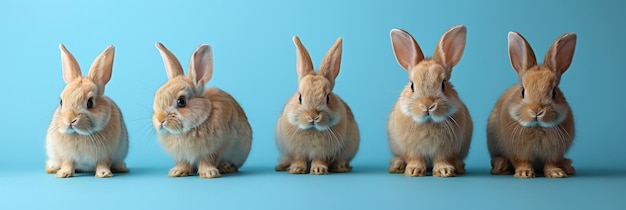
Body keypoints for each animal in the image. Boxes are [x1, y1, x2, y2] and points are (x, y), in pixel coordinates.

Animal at [45, 44, 129, 177]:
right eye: (61, 102)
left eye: (90, 103)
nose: (70, 120)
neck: (80, 134)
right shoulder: (66, 156)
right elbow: (67, 163)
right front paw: (63, 174)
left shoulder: (105, 155)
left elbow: (102, 163)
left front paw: (104, 174)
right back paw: (52, 168)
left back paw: (121, 168)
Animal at [153, 42, 251, 179]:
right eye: (157, 95)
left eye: (181, 101)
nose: (160, 120)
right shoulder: (182, 155)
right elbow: (184, 163)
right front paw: (177, 172)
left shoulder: (214, 148)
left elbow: (208, 160)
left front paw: (209, 173)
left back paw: (226, 167)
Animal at [274, 36, 358, 176]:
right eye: (300, 97)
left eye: (328, 98)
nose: (313, 117)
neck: (312, 130)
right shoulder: (296, 151)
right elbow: (298, 159)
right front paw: (296, 169)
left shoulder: (324, 152)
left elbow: (320, 160)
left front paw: (319, 170)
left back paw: (340, 168)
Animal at [386, 25, 472, 178]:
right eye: (412, 85)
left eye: (443, 84)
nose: (427, 105)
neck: (428, 122)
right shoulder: (412, 149)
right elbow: (415, 158)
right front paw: (414, 171)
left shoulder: (445, 150)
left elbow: (442, 159)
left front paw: (444, 171)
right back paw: (397, 165)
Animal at [486, 31, 576, 179]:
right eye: (522, 91)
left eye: (554, 92)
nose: (537, 111)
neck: (537, 127)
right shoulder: (518, 151)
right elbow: (523, 161)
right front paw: (524, 173)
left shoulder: (554, 153)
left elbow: (552, 163)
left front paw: (556, 173)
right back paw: (501, 166)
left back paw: (568, 167)